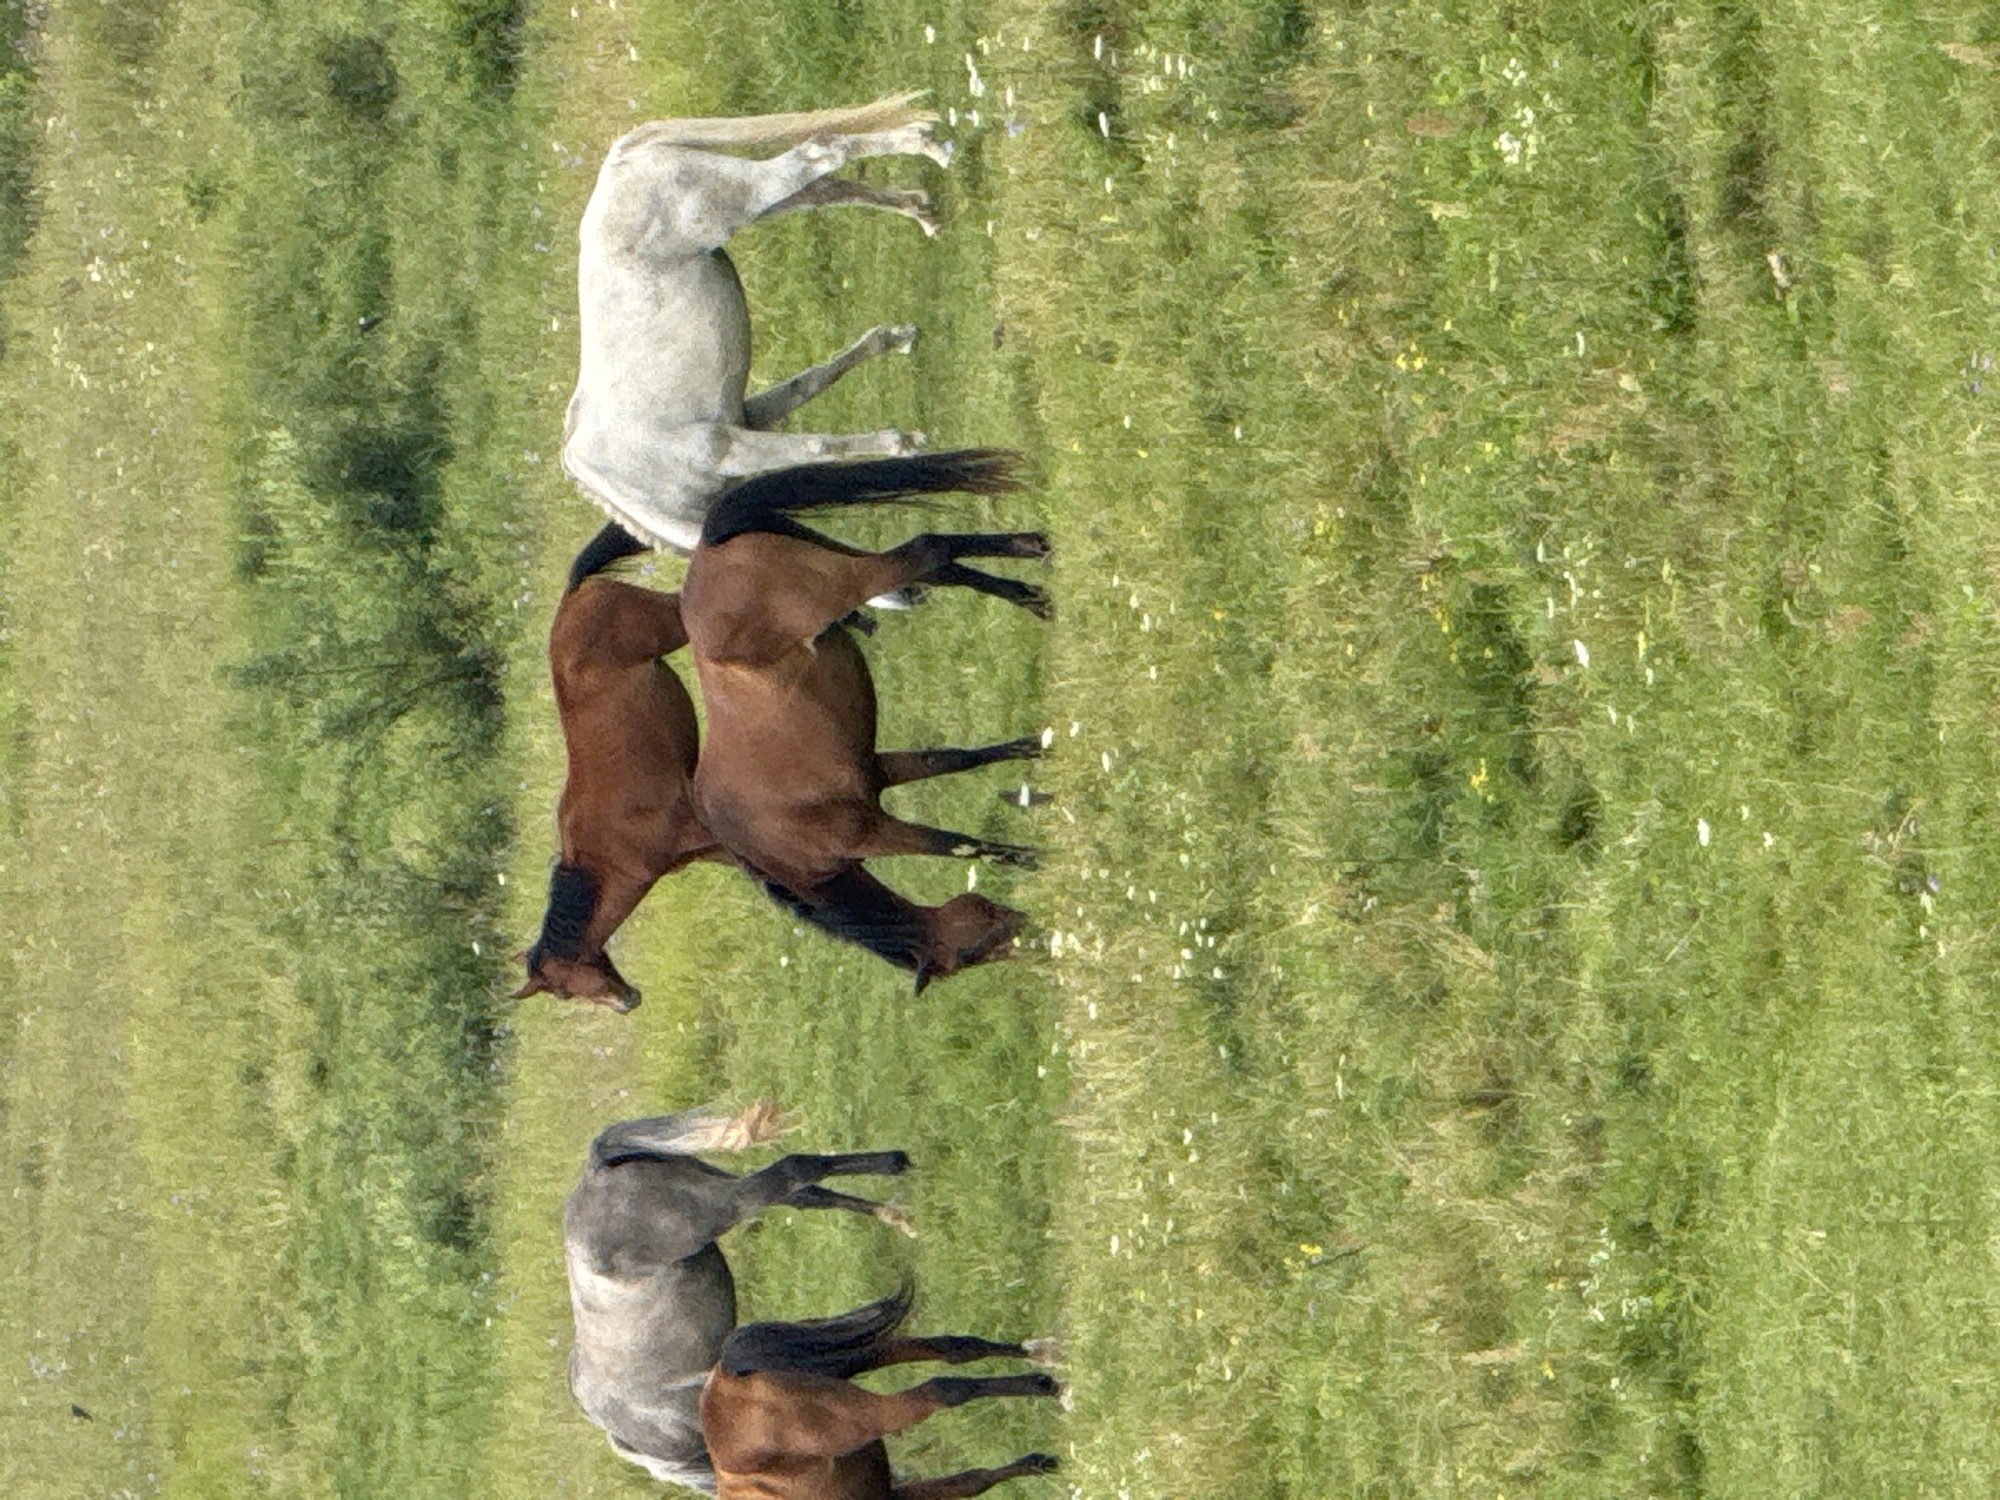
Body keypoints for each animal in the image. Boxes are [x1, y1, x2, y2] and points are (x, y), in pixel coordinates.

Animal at [515, 526, 726, 1011]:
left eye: (562, 988)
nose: (627, 1002)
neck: (610, 850)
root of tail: (573, 596)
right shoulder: (704, 848)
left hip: (672, 622)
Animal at [565, 94, 951, 555]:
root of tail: (619, 161)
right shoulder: (746, 421)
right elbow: (810, 385)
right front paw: (894, 346)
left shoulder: (732, 447)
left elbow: (816, 444)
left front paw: (903, 441)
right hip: (753, 201)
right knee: (821, 189)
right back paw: (921, 208)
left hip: (741, 197)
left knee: (819, 155)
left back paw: (928, 147)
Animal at [679, 451, 1052, 986]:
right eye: (973, 955)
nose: (1032, 935)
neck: (781, 847)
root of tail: (708, 548)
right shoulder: (880, 774)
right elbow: (955, 763)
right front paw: (1032, 751)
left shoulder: (874, 831)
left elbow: (952, 844)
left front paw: (1031, 857)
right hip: (841, 561)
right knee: (940, 569)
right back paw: (1031, 587)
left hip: (847, 580)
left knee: (928, 550)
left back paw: (1029, 557)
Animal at [699, 1285, 1061, 1500]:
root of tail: (725, 1374)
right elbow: (974, 1481)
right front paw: (1038, 1464)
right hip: (860, 1360)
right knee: (955, 1349)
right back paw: (1044, 1359)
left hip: (869, 1408)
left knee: (945, 1388)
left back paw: (1046, 1381)